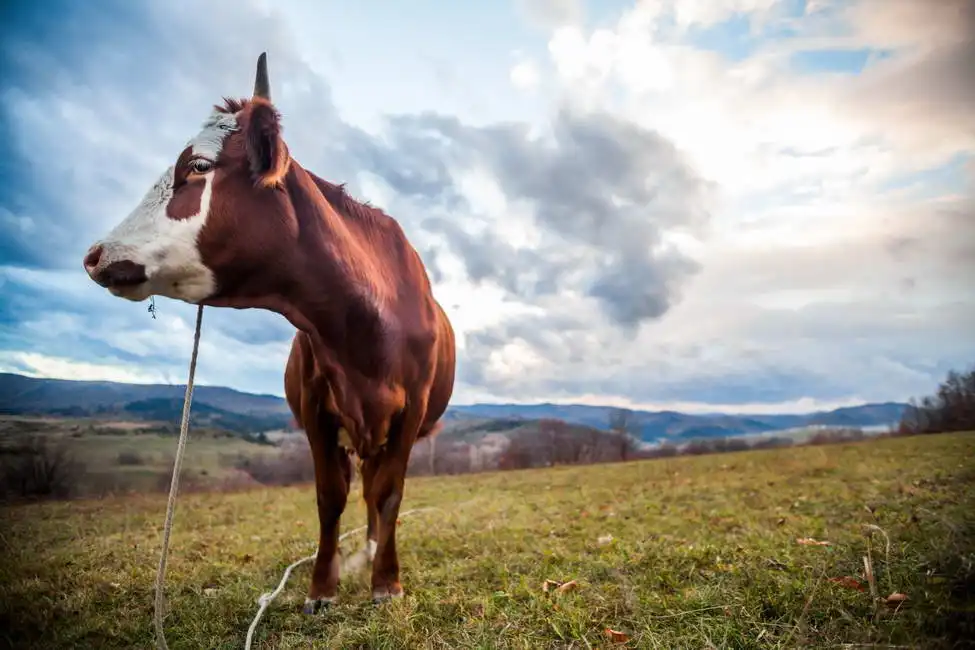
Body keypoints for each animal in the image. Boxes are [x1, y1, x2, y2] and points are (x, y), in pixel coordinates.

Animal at [82, 53, 457, 611]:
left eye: (198, 166)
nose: (94, 254)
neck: (363, 340)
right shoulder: (318, 410)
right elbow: (330, 497)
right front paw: (322, 587)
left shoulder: (411, 411)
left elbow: (389, 493)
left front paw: (386, 582)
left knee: (375, 490)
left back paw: (372, 550)